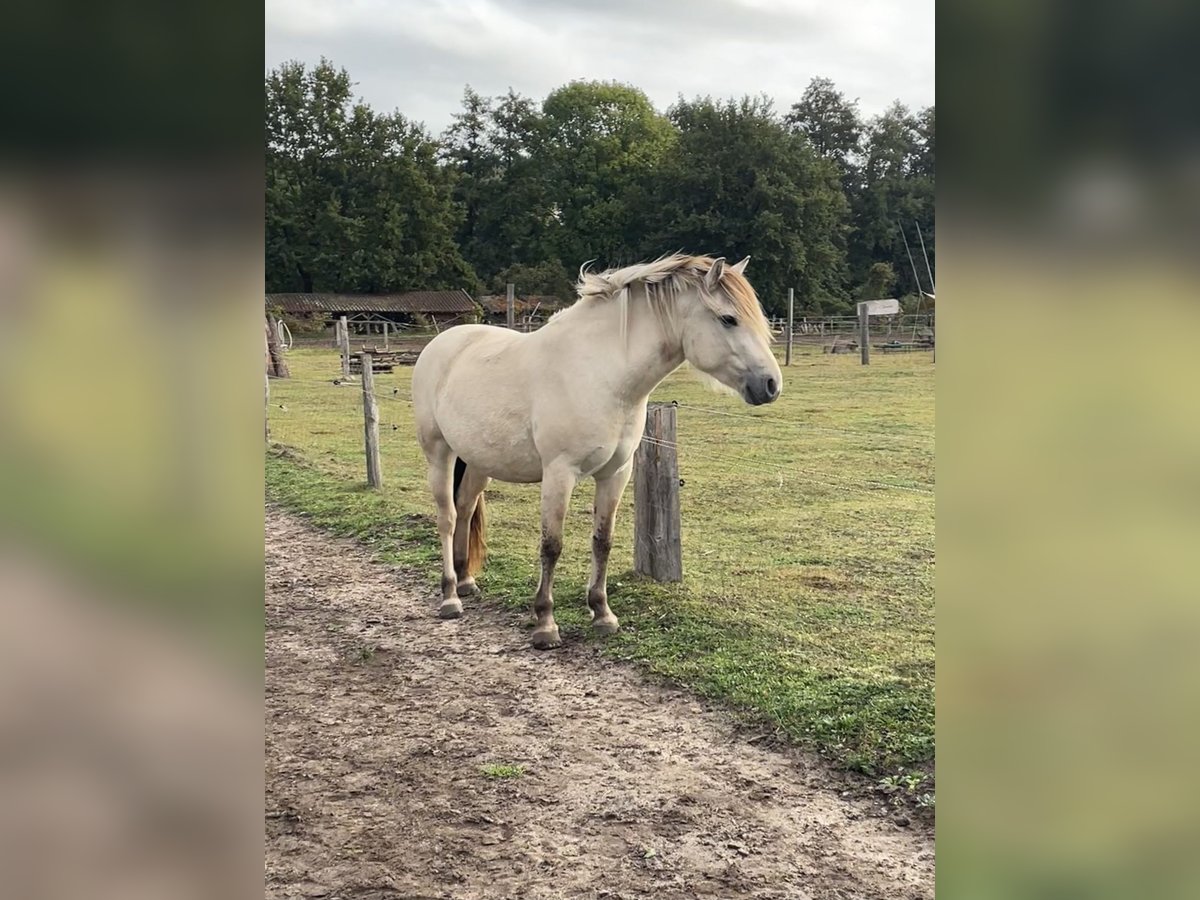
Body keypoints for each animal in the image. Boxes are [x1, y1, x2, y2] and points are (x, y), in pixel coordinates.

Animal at [412, 253, 781, 649]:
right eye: (728, 319)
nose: (771, 384)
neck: (601, 375)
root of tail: (442, 342)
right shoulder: (559, 474)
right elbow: (552, 545)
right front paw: (545, 623)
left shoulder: (615, 473)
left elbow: (602, 540)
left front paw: (602, 613)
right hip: (439, 454)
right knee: (448, 518)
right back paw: (450, 596)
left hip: (479, 462)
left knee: (465, 509)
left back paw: (466, 581)